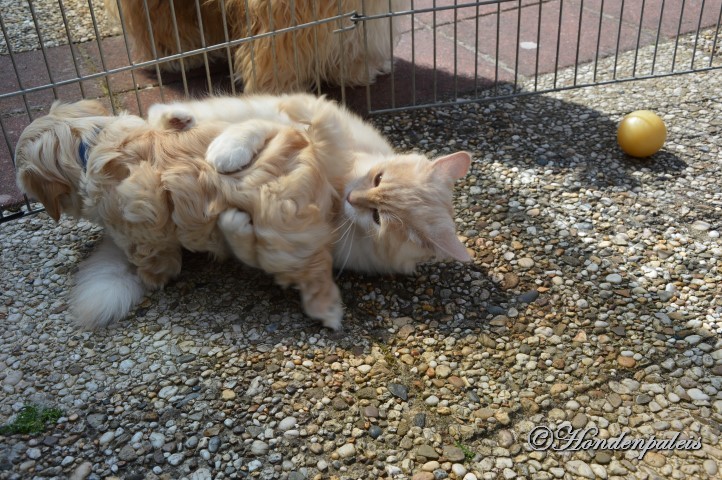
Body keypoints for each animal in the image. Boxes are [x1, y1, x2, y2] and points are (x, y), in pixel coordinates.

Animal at [107, 0, 410, 93]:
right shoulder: (282, 24)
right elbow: (277, 61)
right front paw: (281, 92)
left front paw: (358, 72)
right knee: (161, 26)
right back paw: (176, 56)